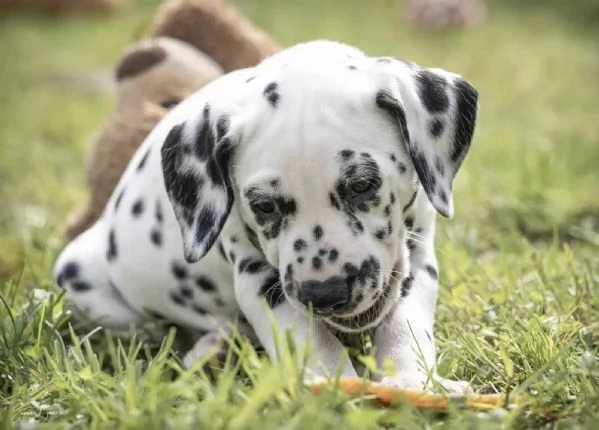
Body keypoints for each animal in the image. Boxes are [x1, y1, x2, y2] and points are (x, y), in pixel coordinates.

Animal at [55, 40, 478, 394]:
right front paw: (335, 386)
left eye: (362, 185)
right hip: (80, 276)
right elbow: (311, 340)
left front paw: (412, 382)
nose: (325, 295)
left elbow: (406, 325)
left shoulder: (417, 259)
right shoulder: (260, 278)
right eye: (264, 206)